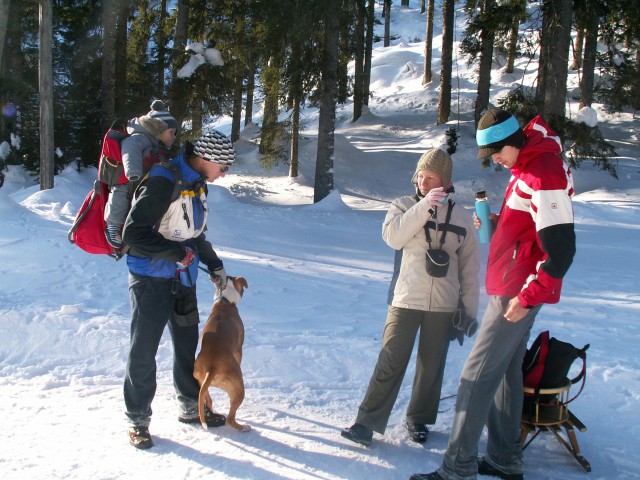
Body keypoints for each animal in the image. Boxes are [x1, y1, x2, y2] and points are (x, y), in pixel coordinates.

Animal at [192, 276, 250, 434]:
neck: (225, 301)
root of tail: (212, 367)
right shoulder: (239, 350)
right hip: (239, 389)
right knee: (230, 419)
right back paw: (244, 427)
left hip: (200, 381)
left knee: (208, 399)